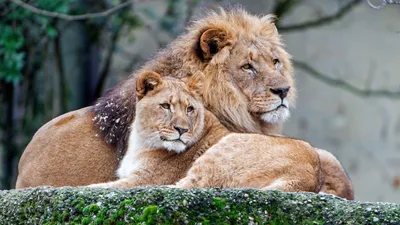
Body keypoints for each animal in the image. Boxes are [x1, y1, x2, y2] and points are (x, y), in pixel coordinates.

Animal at [90, 71, 322, 194]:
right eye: (166, 106)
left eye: (190, 109)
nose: (182, 130)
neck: (142, 140)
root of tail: (309, 176)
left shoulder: (143, 179)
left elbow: (102, 185)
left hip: (222, 151)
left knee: (184, 187)